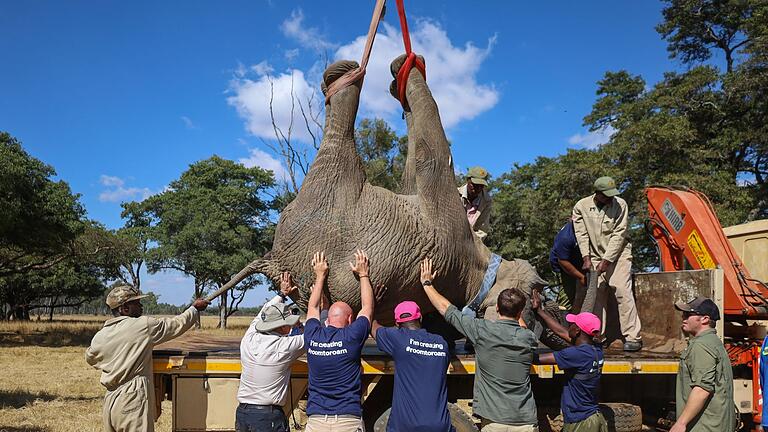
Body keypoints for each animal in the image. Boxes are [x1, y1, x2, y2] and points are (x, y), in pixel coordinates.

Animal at [219, 54, 556, 338]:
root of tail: (273, 260)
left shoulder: (449, 231)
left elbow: (430, 156)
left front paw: (399, 71)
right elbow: (417, 166)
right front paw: (402, 75)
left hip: (328, 189)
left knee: (340, 135)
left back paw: (342, 76)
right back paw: (345, 75)